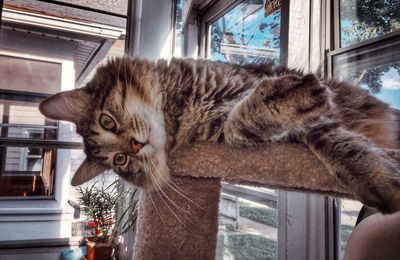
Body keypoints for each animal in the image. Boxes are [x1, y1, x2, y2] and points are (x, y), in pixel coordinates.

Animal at [39, 58, 400, 214]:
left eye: (107, 121)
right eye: (120, 160)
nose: (136, 145)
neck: (183, 107)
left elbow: (338, 141)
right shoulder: (225, 134)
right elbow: (239, 127)